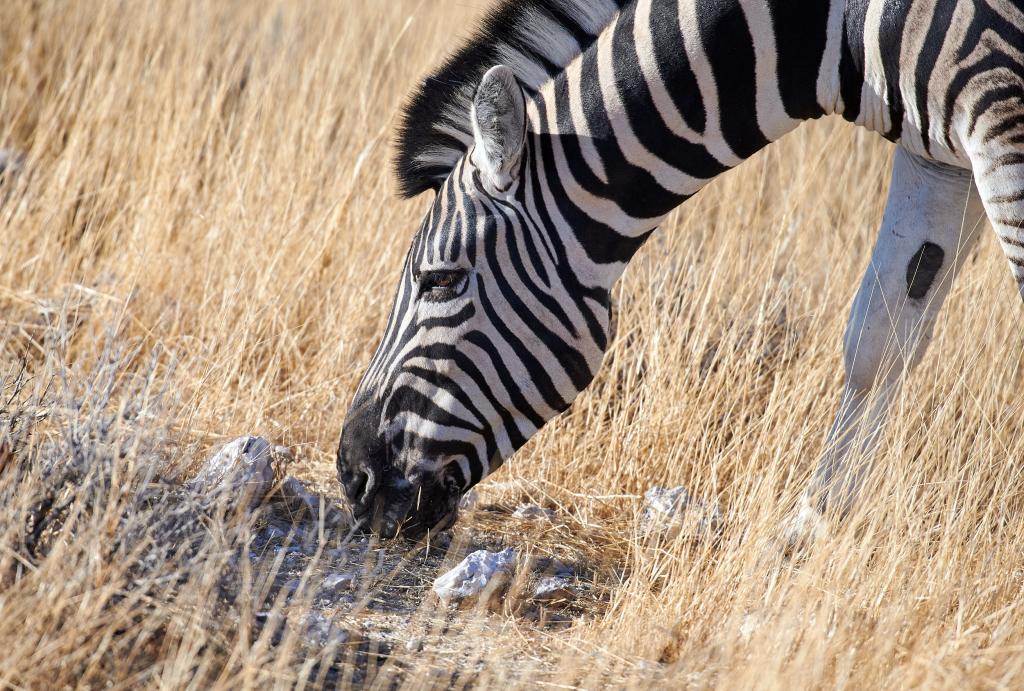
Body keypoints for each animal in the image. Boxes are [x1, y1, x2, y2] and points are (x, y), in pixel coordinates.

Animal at [337, 0, 1024, 540]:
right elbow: (878, 338)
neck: (828, 26)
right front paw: (810, 530)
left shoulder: (1000, 110)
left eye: (442, 280)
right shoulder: (937, 151)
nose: (351, 477)